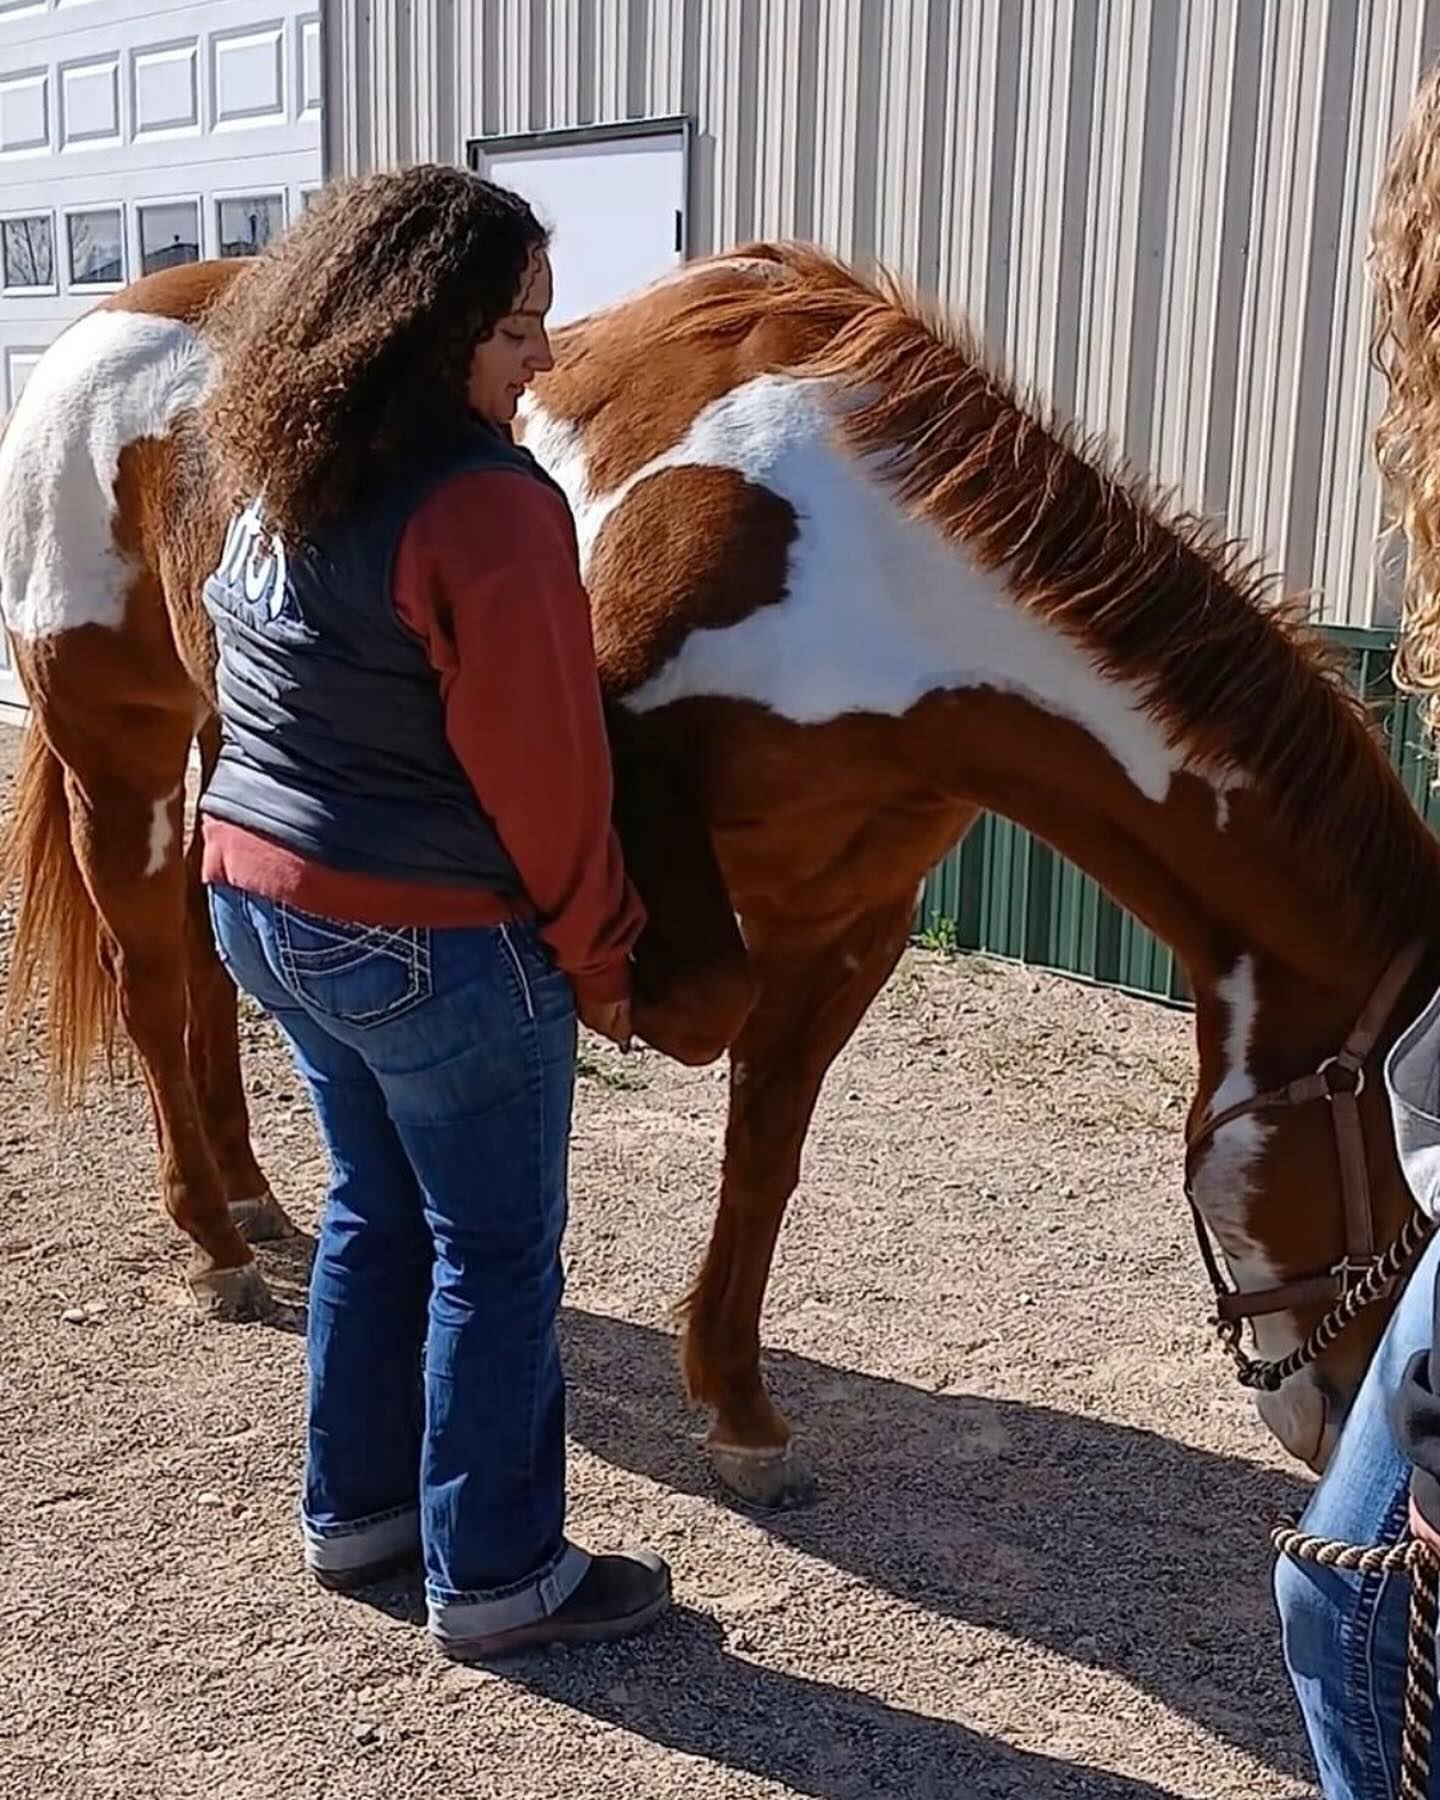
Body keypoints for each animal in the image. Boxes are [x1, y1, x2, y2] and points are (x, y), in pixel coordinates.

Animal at [2, 243, 1440, 1504]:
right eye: (1406, 1162)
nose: (1356, 1416)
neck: (865, 564)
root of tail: (95, 328)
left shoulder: (854, 919)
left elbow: (764, 1147)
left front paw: (740, 1409)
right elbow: (693, 1000)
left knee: (208, 953)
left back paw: (253, 1196)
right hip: (115, 746)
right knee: (148, 971)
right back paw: (211, 1243)